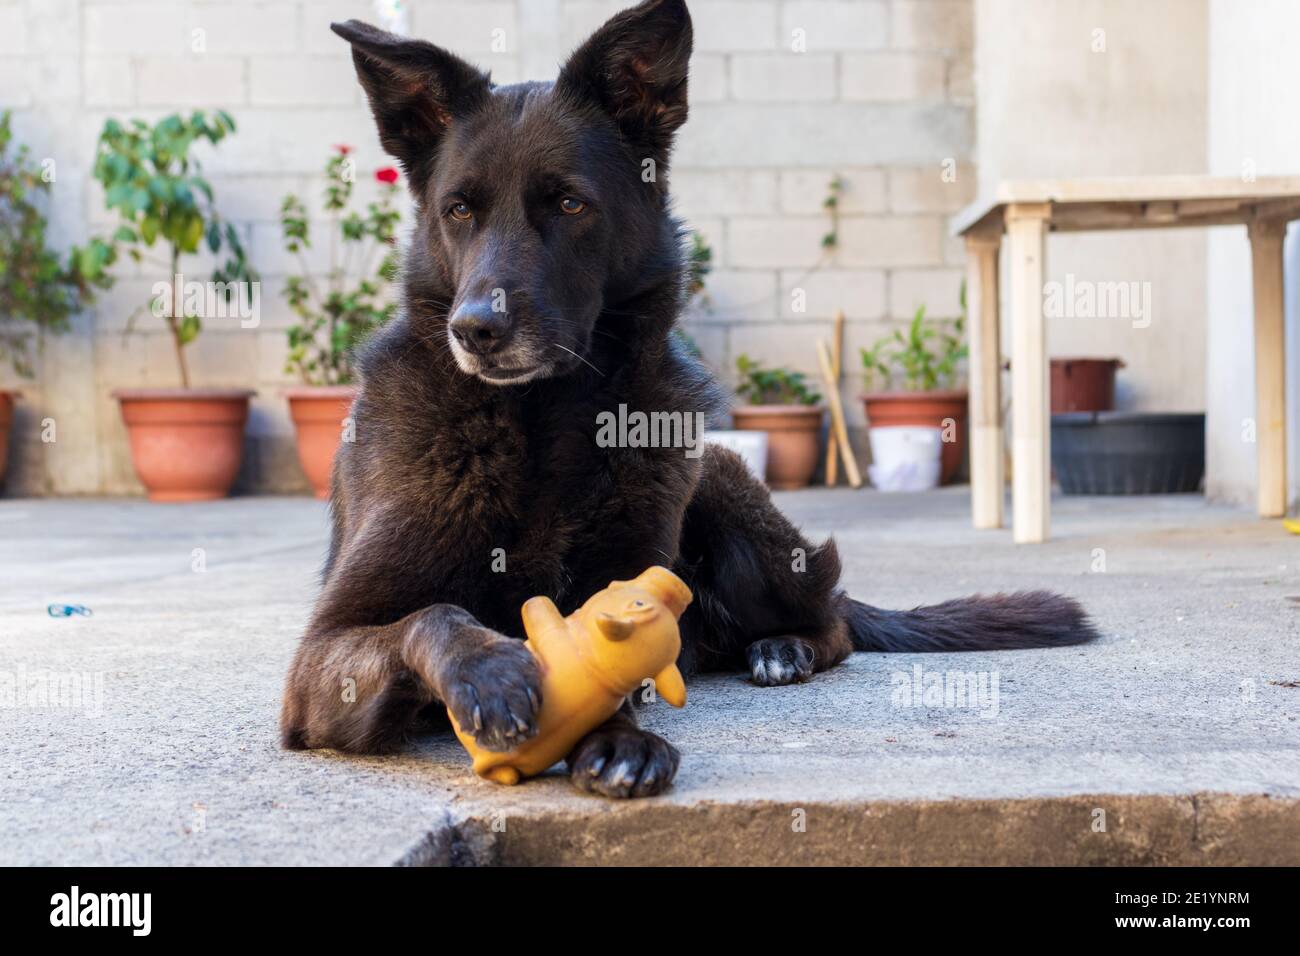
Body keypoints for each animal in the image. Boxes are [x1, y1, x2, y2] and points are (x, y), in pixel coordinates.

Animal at [282, 0, 1097, 801]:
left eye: (570, 204)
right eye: (458, 211)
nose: (476, 329)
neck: (545, 421)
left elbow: (610, 673)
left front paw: (619, 738)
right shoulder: (318, 662)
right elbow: (434, 615)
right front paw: (490, 670)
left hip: (727, 493)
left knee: (833, 617)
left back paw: (784, 649)